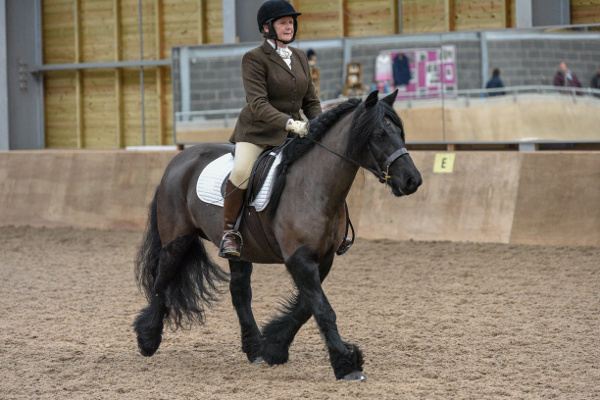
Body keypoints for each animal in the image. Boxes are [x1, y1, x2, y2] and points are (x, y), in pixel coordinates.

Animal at [134, 90, 422, 382]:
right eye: (379, 134)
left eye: (399, 131)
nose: (413, 181)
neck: (313, 185)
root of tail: (178, 161)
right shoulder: (300, 259)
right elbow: (323, 310)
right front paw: (346, 364)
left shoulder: (322, 259)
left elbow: (306, 307)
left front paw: (274, 347)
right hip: (176, 241)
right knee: (161, 282)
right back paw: (147, 340)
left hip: (238, 251)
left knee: (239, 292)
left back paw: (254, 348)